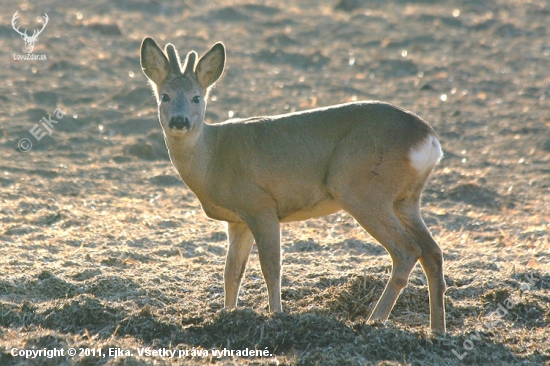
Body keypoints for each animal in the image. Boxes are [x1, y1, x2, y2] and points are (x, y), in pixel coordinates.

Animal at [140, 37, 446, 332]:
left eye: (197, 97)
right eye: (164, 96)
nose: (179, 121)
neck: (212, 158)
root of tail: (429, 139)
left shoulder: (260, 204)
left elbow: (271, 268)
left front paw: (276, 315)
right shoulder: (237, 219)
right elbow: (232, 272)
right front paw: (227, 314)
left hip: (361, 189)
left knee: (407, 251)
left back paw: (374, 321)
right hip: (405, 199)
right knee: (432, 252)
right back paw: (437, 330)